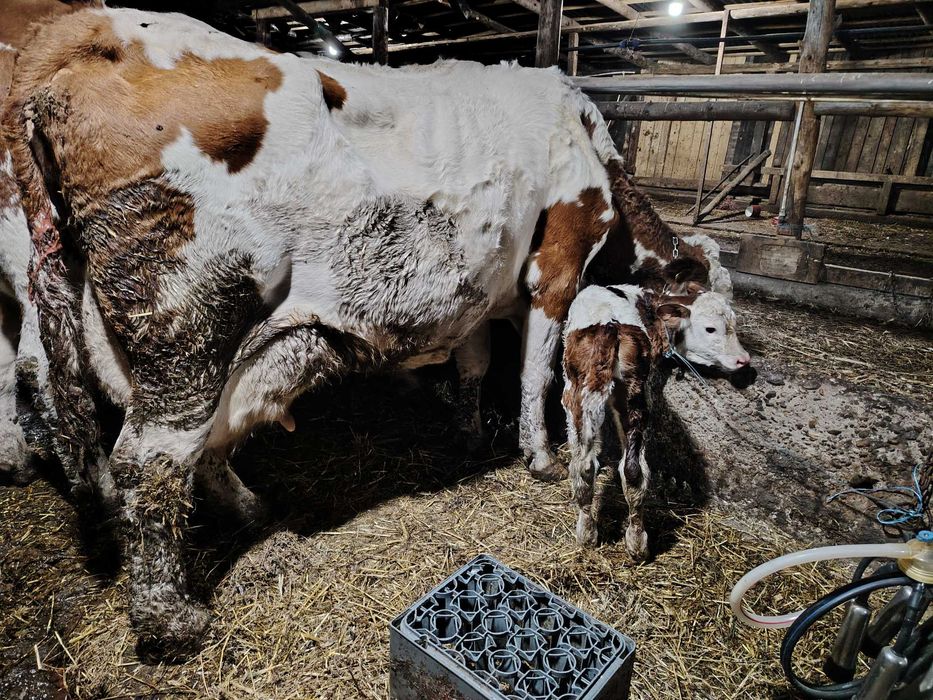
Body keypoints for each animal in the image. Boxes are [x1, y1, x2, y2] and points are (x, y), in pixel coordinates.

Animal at [561, 280, 749, 560]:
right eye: (710, 328)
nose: (744, 360)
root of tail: (610, 323)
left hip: (583, 392)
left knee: (590, 467)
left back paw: (594, 536)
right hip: (631, 394)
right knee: (627, 470)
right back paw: (632, 543)